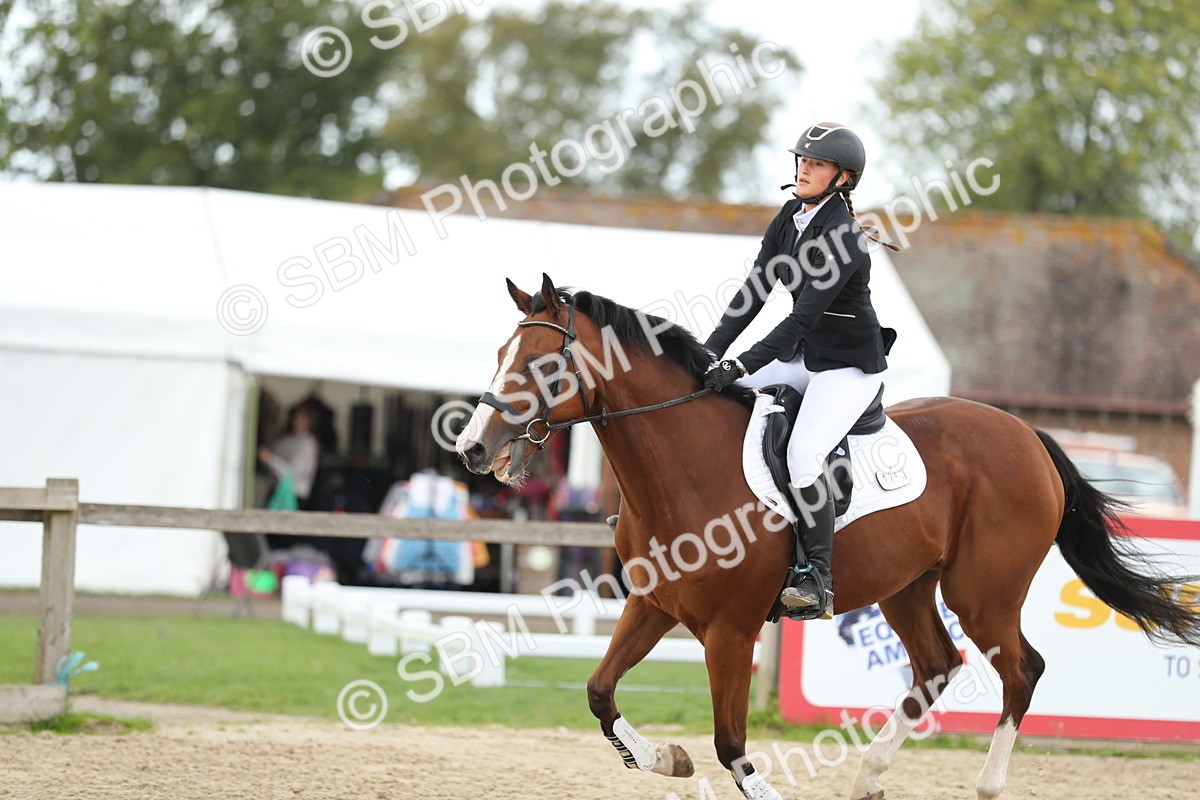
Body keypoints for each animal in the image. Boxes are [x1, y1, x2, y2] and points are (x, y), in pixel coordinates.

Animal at [456, 275, 1200, 800]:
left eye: (544, 366)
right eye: (497, 355)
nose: (471, 448)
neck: (684, 467)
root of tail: (1026, 435)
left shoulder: (731, 631)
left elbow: (732, 745)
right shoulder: (652, 606)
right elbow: (600, 692)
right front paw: (666, 757)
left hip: (983, 593)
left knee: (1022, 670)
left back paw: (987, 785)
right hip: (908, 588)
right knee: (938, 666)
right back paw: (868, 776)